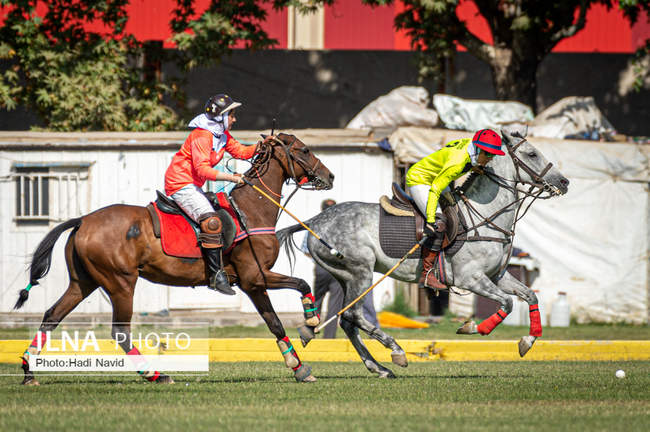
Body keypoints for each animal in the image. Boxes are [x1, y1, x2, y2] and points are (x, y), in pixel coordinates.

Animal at [15, 133, 335, 385]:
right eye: (304, 149)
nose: (330, 176)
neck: (251, 209)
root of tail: (82, 220)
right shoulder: (255, 276)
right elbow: (302, 283)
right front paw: (311, 321)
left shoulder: (252, 284)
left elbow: (275, 323)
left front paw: (300, 368)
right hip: (120, 283)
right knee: (120, 331)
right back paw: (154, 374)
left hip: (84, 281)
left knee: (52, 316)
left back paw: (29, 371)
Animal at [278, 127, 569, 378]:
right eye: (532, 154)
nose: (564, 181)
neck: (483, 216)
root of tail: (314, 221)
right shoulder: (470, 279)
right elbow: (507, 303)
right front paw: (473, 327)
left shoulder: (497, 276)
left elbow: (530, 295)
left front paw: (528, 340)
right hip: (360, 271)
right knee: (354, 315)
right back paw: (396, 351)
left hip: (345, 276)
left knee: (347, 321)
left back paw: (379, 367)